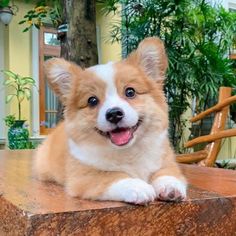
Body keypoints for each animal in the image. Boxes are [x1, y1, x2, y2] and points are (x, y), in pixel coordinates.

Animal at [34, 37, 187, 204]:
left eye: (130, 92)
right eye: (92, 101)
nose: (114, 114)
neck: (127, 150)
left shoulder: (166, 161)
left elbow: (167, 172)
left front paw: (170, 186)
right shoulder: (84, 177)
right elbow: (114, 176)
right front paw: (138, 186)